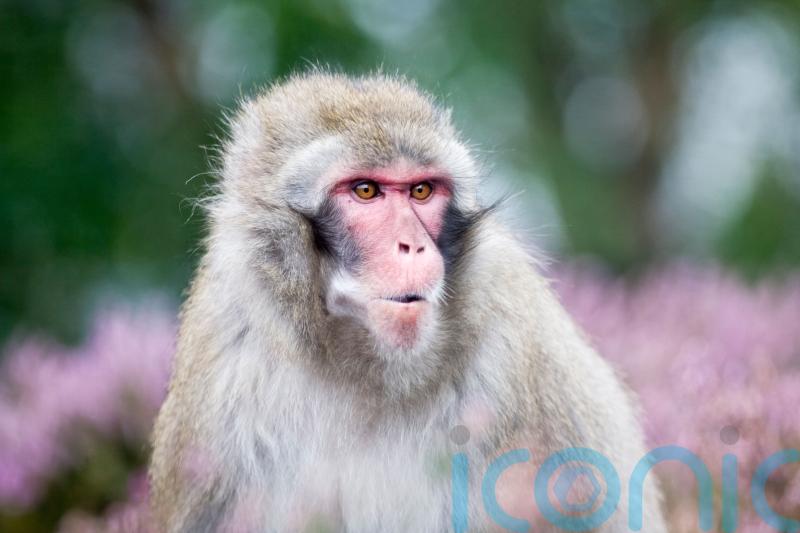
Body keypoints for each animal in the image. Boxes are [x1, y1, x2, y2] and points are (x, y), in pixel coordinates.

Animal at [148, 71, 668, 532]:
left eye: (421, 190)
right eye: (365, 190)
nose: (413, 246)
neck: (371, 372)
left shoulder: (529, 346)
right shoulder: (222, 362)